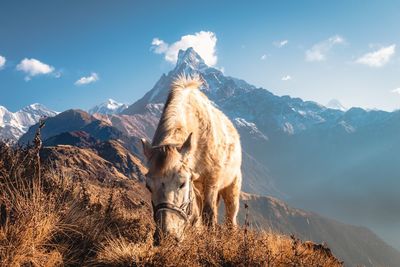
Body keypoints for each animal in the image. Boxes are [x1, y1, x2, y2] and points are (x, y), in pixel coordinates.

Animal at [141, 74, 241, 242]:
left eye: (182, 183)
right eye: (148, 186)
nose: (166, 236)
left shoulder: (211, 181)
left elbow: (209, 215)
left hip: (232, 185)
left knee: (230, 216)